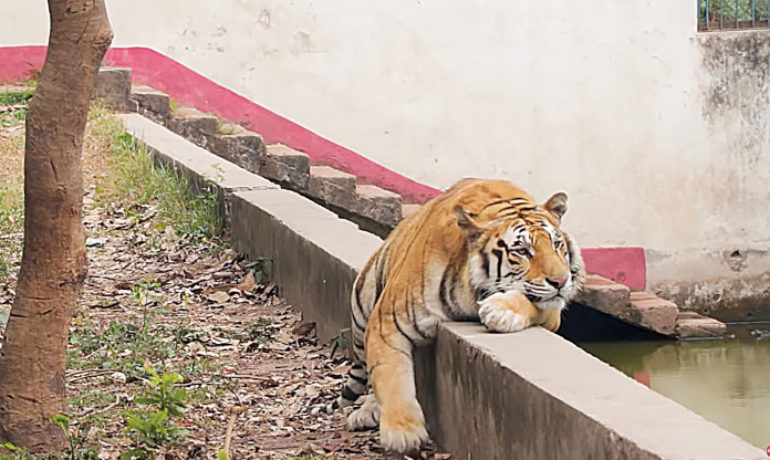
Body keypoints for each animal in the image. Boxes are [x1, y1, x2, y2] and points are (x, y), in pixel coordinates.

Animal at [324, 178, 584, 454]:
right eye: (523, 251)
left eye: (557, 245)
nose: (561, 280)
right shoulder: (386, 322)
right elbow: (391, 374)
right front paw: (403, 432)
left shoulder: (553, 312)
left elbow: (535, 302)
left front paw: (500, 311)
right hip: (361, 299)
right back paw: (367, 412)